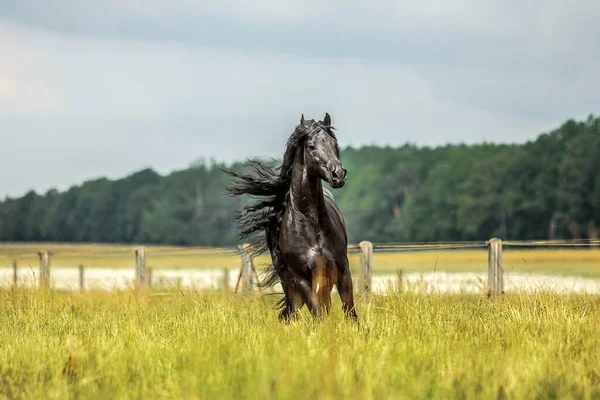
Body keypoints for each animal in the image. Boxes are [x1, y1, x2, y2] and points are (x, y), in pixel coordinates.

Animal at [224, 112, 356, 322]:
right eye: (311, 146)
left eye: (334, 144)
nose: (338, 174)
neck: (312, 227)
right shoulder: (302, 277)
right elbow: (317, 313)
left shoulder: (341, 270)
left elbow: (350, 313)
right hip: (288, 279)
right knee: (294, 309)